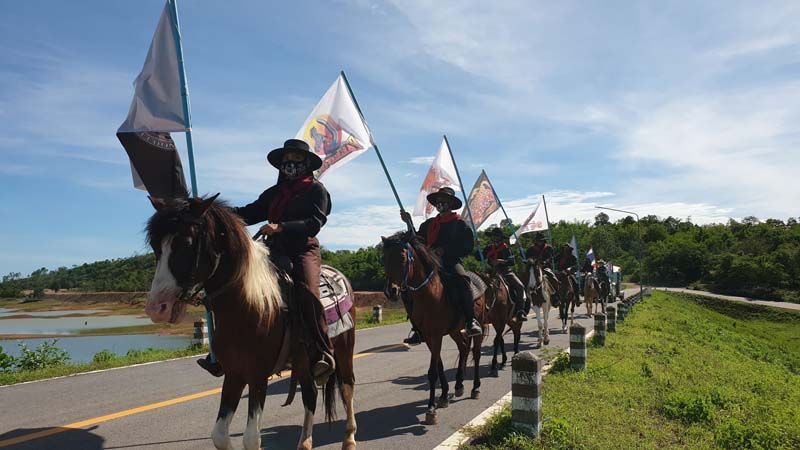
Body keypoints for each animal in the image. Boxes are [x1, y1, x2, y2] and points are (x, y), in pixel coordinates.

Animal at [144, 196, 357, 450]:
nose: (157, 308)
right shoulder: (234, 374)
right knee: (310, 396)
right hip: (303, 362)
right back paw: (304, 443)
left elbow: (251, 438)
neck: (248, 305)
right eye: (156, 246)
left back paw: (349, 439)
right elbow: (219, 435)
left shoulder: (258, 376)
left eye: (185, 243)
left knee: (347, 388)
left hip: (344, 350)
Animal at [381, 232, 486, 426]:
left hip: (480, 325)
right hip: (454, 330)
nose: (391, 291)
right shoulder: (430, 338)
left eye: (402, 257)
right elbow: (439, 367)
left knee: (475, 353)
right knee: (463, 347)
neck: (429, 294)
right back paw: (459, 385)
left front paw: (431, 409)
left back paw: (475, 388)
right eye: (384, 258)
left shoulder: (436, 336)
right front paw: (443, 396)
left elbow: (431, 372)